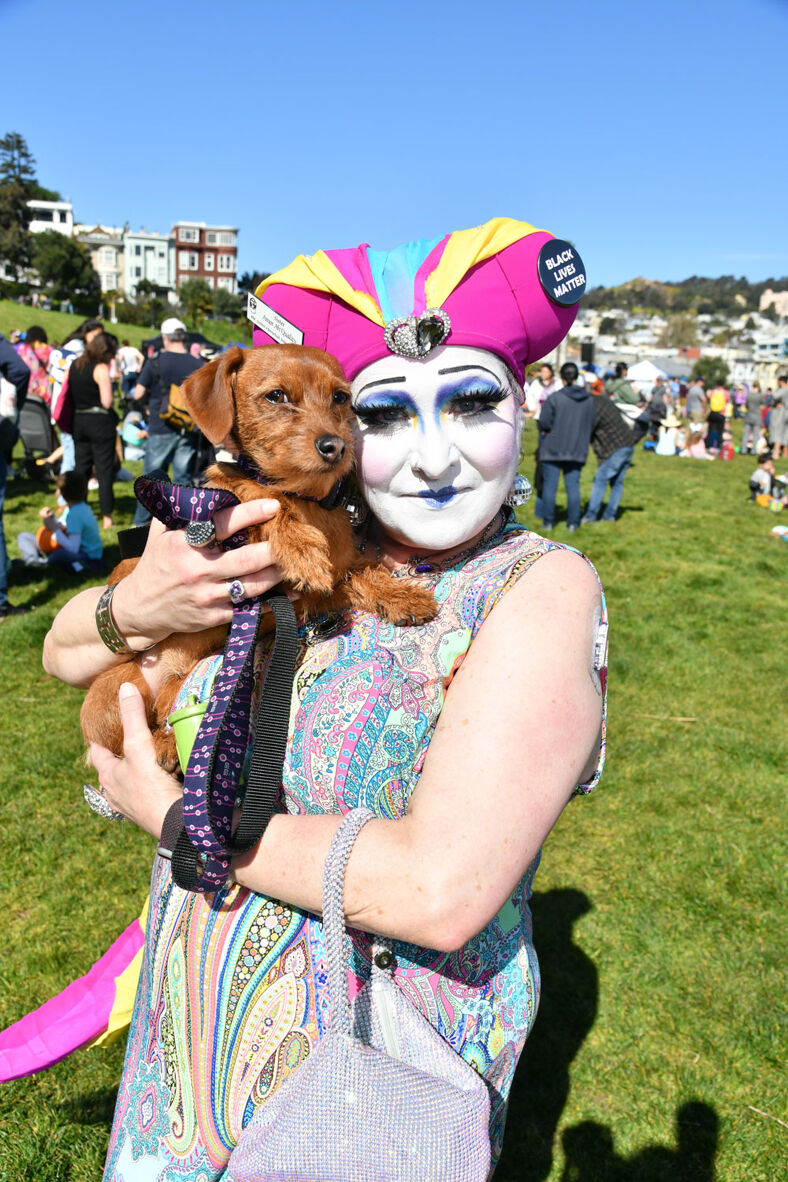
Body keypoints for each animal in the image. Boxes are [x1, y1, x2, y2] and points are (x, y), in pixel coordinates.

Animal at [83, 345, 441, 765]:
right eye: (276, 396)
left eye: (340, 397)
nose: (335, 446)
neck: (306, 500)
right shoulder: (219, 508)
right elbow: (255, 494)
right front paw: (301, 547)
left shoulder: (318, 592)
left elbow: (363, 571)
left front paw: (402, 595)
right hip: (109, 695)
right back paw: (160, 745)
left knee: (171, 706)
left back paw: (171, 741)